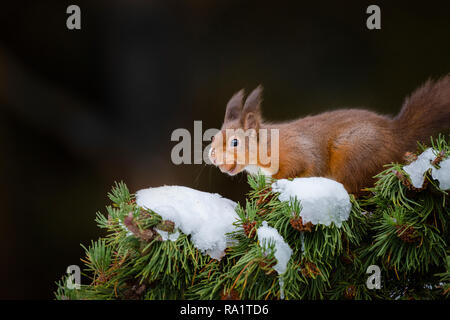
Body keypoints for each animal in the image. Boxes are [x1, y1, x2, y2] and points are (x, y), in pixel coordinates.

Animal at [209, 76, 450, 194]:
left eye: (235, 142)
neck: (265, 145)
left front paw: (273, 187)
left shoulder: (295, 151)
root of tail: (397, 136)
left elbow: (298, 166)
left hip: (353, 154)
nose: (211, 155)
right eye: (213, 138)